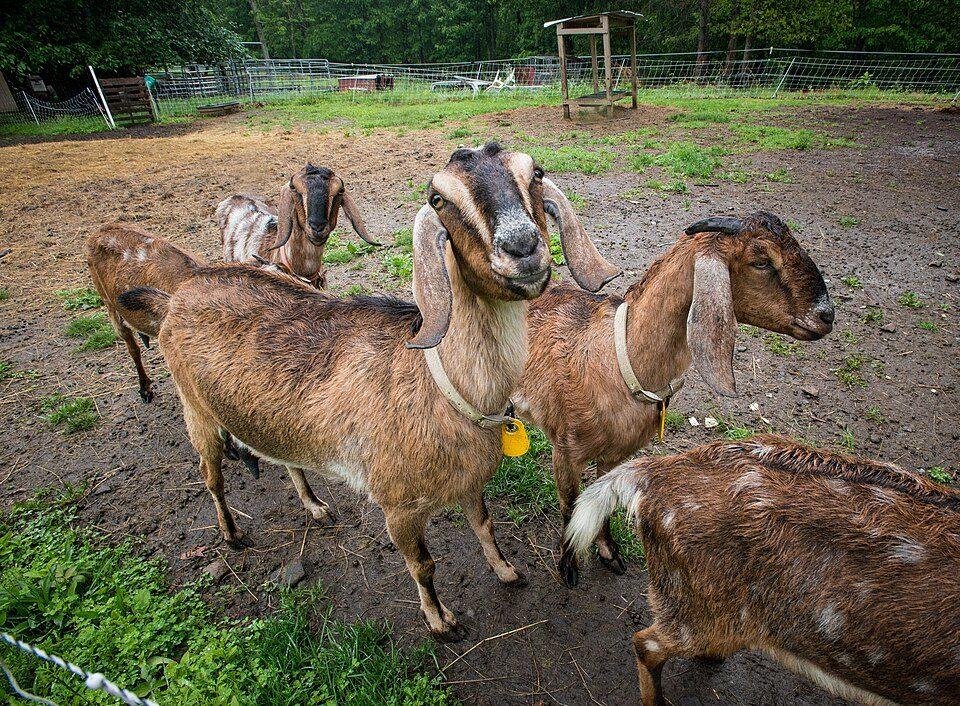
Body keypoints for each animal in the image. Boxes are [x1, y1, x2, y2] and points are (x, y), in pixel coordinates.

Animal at [518, 212, 835, 586]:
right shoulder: (565, 451)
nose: (827, 315)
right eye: (761, 261)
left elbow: (600, 503)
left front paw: (610, 554)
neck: (616, 358)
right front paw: (568, 567)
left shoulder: (614, 455)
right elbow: (569, 505)